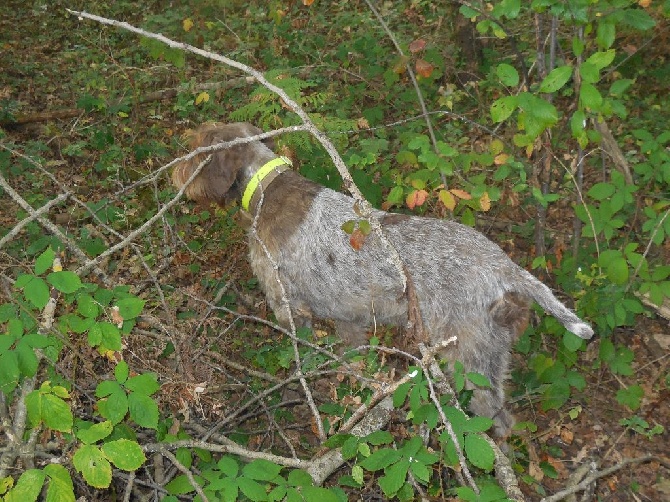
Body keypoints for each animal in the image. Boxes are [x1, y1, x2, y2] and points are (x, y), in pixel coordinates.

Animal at [172, 121, 592, 436]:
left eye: (196, 149)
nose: (175, 167)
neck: (265, 189)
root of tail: (504, 266)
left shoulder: (288, 307)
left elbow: (303, 358)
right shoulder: (349, 319)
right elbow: (354, 362)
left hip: (468, 360)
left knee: (496, 421)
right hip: (491, 355)